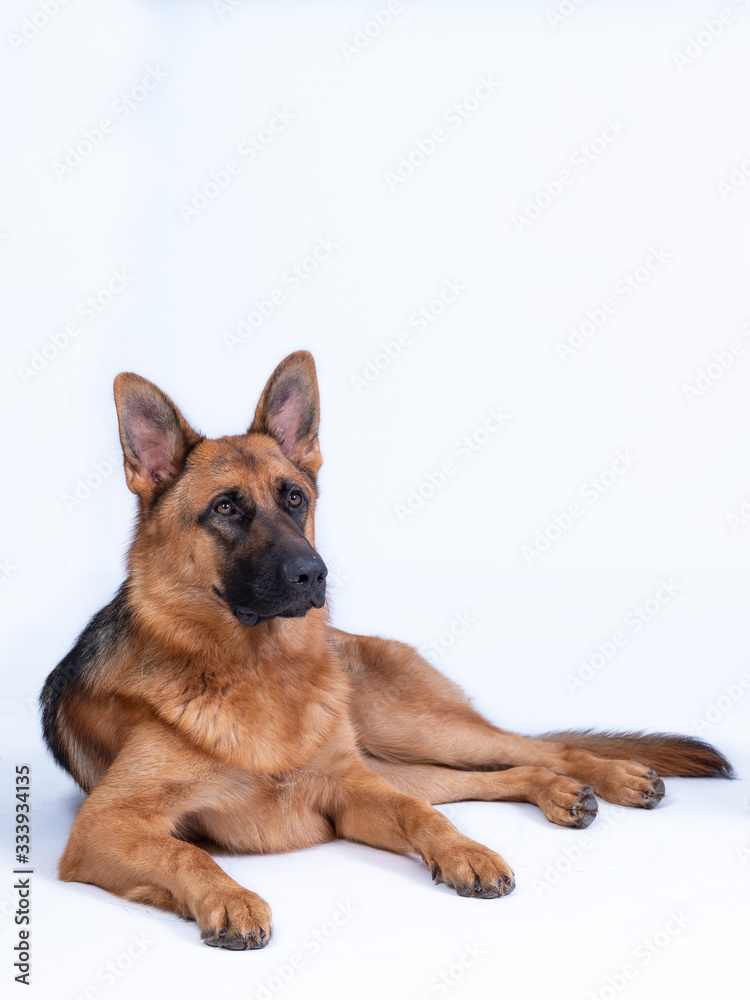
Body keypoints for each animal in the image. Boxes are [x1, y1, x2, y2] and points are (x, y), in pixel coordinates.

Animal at [41, 354, 736, 952]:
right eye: (226, 507)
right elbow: (184, 850)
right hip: (401, 755)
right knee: (491, 776)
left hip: (412, 731)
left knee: (532, 749)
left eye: (294, 497)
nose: (313, 575)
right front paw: (229, 898)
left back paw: (609, 777)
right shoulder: (104, 826)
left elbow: (422, 819)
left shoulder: (350, 790)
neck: (261, 671)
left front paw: (464, 851)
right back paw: (560, 793)